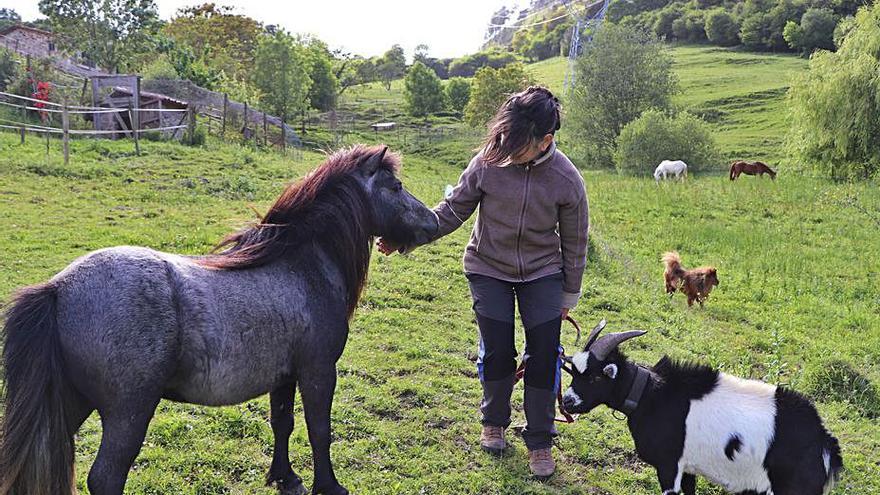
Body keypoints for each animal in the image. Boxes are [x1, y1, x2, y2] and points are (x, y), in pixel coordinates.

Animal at [560, 322, 844, 495]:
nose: (567, 402)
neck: (651, 396)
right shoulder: (688, 467)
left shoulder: (669, 465)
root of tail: (824, 443)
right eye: (573, 371)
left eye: (594, 378)